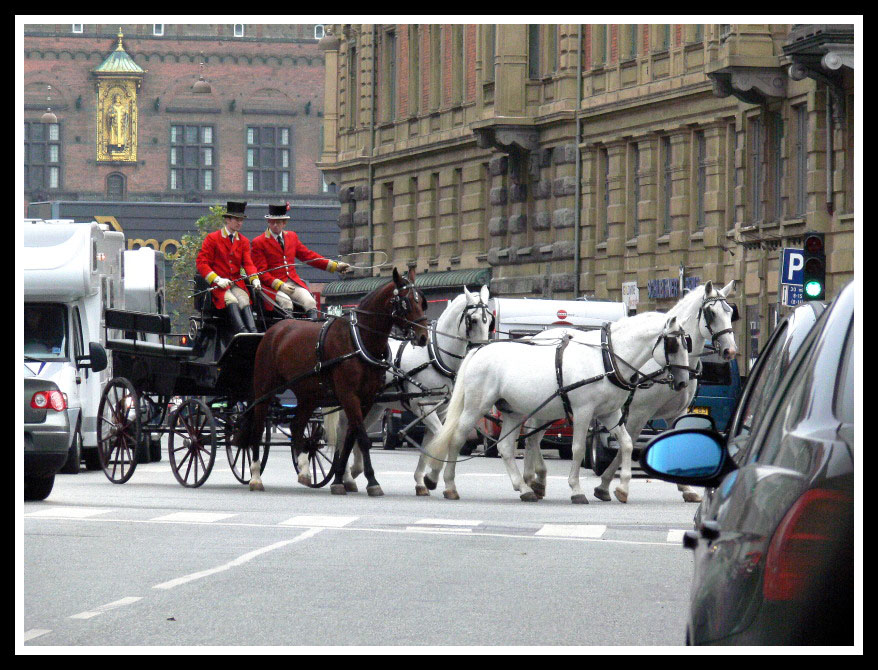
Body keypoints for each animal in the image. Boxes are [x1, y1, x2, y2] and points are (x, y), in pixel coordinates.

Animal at [232, 270, 428, 498]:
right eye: (406, 302)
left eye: (421, 302)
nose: (423, 337)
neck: (358, 339)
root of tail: (275, 329)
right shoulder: (348, 395)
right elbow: (362, 437)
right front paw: (371, 481)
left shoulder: (367, 398)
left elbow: (351, 437)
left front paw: (340, 479)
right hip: (265, 389)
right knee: (258, 427)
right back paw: (255, 476)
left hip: (308, 395)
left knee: (297, 426)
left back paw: (304, 470)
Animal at [306, 286, 492, 490]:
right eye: (473, 320)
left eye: (490, 321)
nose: (481, 349)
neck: (435, 356)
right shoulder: (423, 406)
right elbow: (441, 437)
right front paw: (432, 477)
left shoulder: (439, 411)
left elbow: (429, 443)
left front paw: (421, 481)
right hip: (349, 400)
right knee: (343, 431)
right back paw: (345, 475)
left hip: (374, 407)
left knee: (355, 431)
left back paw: (354, 471)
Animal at [422, 312, 692, 504]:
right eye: (673, 345)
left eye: (687, 342)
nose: (683, 382)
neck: (606, 360)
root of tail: (479, 350)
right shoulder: (583, 411)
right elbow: (578, 448)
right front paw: (576, 489)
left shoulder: (610, 413)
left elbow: (625, 444)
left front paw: (621, 488)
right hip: (477, 406)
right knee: (457, 438)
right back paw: (449, 485)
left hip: (513, 411)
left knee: (506, 448)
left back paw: (524, 488)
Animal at [524, 280, 744, 506]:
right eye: (711, 313)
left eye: (730, 312)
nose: (730, 350)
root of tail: (536, 337)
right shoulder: (639, 412)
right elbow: (626, 444)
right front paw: (608, 485)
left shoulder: (677, 413)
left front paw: (686, 488)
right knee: (532, 436)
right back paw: (533, 480)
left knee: (533, 437)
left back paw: (535, 481)